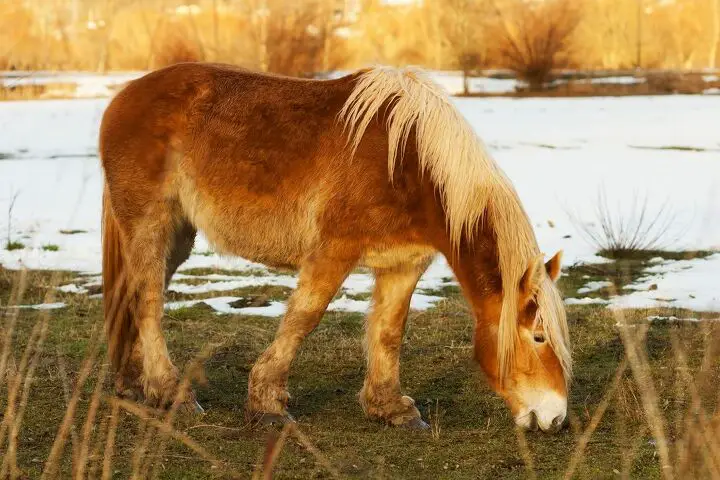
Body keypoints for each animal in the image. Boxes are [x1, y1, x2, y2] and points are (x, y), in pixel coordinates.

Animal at [100, 62, 572, 434]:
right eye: (538, 336)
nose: (555, 418)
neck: (407, 163)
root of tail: (123, 97)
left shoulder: (405, 263)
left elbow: (389, 330)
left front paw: (391, 409)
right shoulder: (333, 252)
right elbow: (303, 319)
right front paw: (268, 405)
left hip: (178, 235)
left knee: (135, 296)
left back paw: (134, 383)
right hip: (151, 225)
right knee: (148, 302)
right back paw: (170, 393)